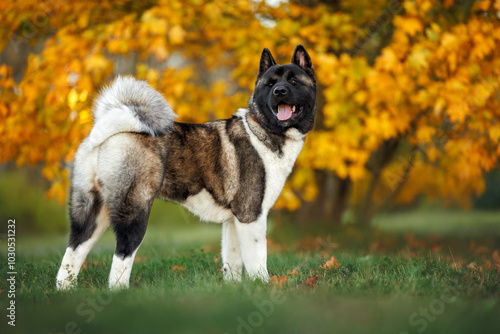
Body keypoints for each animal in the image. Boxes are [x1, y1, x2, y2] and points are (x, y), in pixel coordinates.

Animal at [56, 45, 316, 290]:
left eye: (293, 81)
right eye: (270, 84)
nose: (279, 91)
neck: (262, 129)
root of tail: (111, 129)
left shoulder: (234, 221)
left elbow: (232, 262)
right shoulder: (251, 215)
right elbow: (257, 261)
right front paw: (263, 286)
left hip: (91, 212)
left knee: (72, 253)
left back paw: (64, 290)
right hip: (134, 211)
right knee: (121, 257)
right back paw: (120, 291)